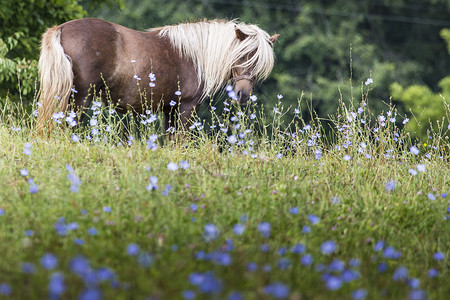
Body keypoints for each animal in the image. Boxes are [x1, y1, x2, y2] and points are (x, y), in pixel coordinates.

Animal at [37, 17, 278, 132]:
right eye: (243, 55)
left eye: (258, 64)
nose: (243, 95)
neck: (194, 55)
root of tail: (61, 29)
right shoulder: (186, 109)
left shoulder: (170, 111)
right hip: (79, 99)